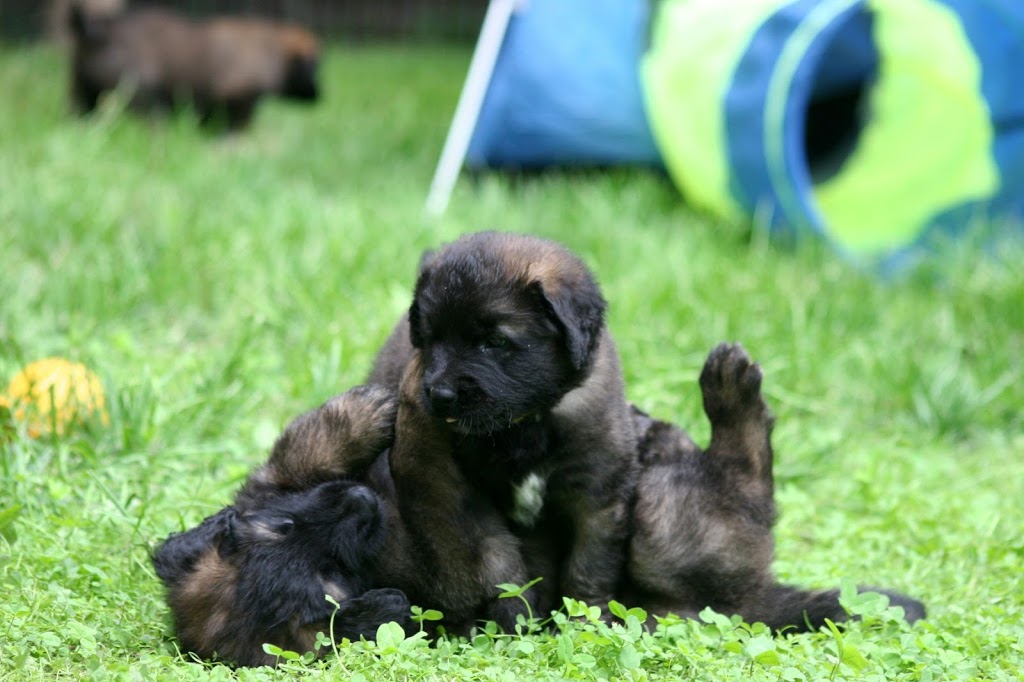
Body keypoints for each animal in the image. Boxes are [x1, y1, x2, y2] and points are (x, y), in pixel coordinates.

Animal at [66, 2, 317, 130]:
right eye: (313, 66)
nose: (319, 97)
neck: (271, 48)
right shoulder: (239, 96)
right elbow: (236, 124)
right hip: (140, 95)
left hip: (81, 90)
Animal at [368, 231, 638, 622]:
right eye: (431, 338)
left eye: (494, 342)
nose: (440, 394)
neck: (526, 422)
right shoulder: (469, 498)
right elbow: (500, 564)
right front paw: (517, 618)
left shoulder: (597, 491)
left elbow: (589, 566)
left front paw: (588, 617)